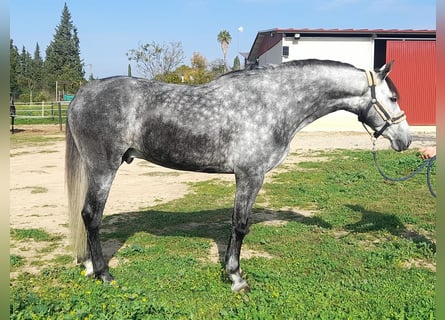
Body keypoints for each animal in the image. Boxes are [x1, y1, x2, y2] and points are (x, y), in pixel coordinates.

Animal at [65, 59, 410, 292]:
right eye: (393, 98)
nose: (404, 140)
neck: (274, 103)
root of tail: (84, 92)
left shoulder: (243, 177)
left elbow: (234, 225)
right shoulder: (251, 175)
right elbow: (241, 225)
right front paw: (236, 277)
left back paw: (88, 266)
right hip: (103, 169)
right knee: (91, 217)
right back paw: (103, 273)